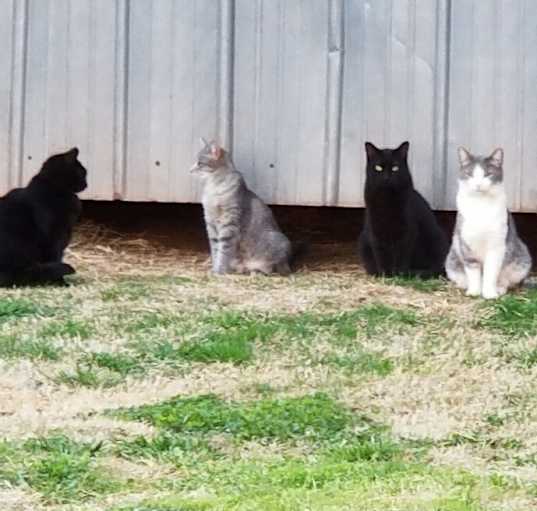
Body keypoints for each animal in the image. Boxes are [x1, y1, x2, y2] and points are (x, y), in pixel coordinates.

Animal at [0, 147, 87, 288]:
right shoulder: (55, 237)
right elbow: (55, 257)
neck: (54, 187)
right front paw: (60, 282)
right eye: (83, 172)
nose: (86, 184)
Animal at [189, 140, 294, 276]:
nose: (190, 170)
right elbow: (215, 250)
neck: (213, 186)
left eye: (200, 163)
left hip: (279, 243)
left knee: (272, 269)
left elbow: (224, 251)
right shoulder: (210, 223)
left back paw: (256, 271)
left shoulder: (229, 224)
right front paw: (214, 268)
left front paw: (219, 271)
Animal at [356, 141, 448, 280]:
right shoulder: (376, 231)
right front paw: (385, 275)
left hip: (437, 238)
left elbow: (401, 255)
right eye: (378, 168)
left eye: (395, 168)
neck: (387, 199)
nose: (386, 177)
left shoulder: (407, 232)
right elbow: (381, 254)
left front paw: (399, 274)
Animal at [442, 147, 528, 300]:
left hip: (522, 260)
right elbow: (473, 271)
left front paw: (489, 293)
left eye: (488, 174)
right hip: (451, 260)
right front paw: (474, 291)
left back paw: (499, 288)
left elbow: (490, 273)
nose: (478, 185)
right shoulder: (466, 245)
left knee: (507, 280)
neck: (481, 205)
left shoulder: (497, 246)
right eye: (470, 174)